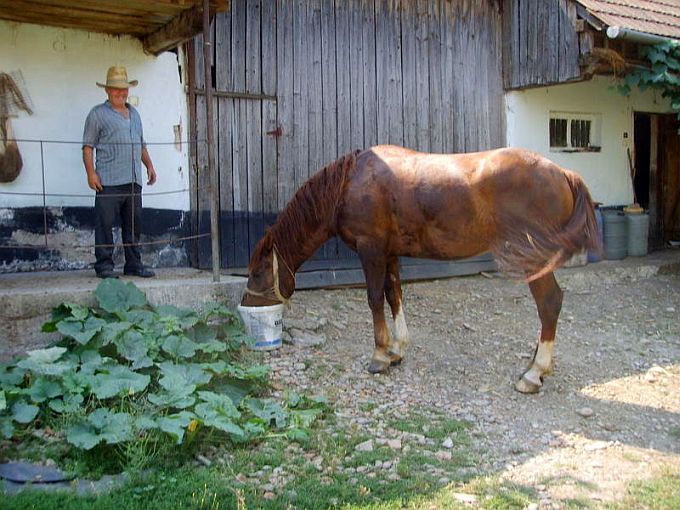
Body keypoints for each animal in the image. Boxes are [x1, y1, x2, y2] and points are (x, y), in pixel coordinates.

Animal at [240, 145, 600, 392]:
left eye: (257, 272)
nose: (245, 305)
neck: (350, 183)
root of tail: (564, 173)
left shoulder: (371, 250)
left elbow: (374, 298)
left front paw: (379, 356)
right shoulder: (389, 253)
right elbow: (394, 295)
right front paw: (396, 350)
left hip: (534, 259)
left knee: (549, 302)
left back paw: (534, 373)